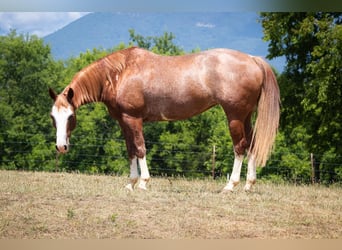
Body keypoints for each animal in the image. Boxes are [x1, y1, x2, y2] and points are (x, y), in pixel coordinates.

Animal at [49, 46, 280, 191]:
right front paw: (131, 183)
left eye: (70, 116)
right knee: (251, 145)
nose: (61, 147)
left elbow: (140, 148)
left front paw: (143, 182)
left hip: (234, 117)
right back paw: (249, 185)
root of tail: (252, 59)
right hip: (246, 116)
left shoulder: (133, 119)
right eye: (53, 117)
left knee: (240, 147)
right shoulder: (123, 121)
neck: (119, 73)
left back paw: (230, 185)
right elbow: (130, 151)